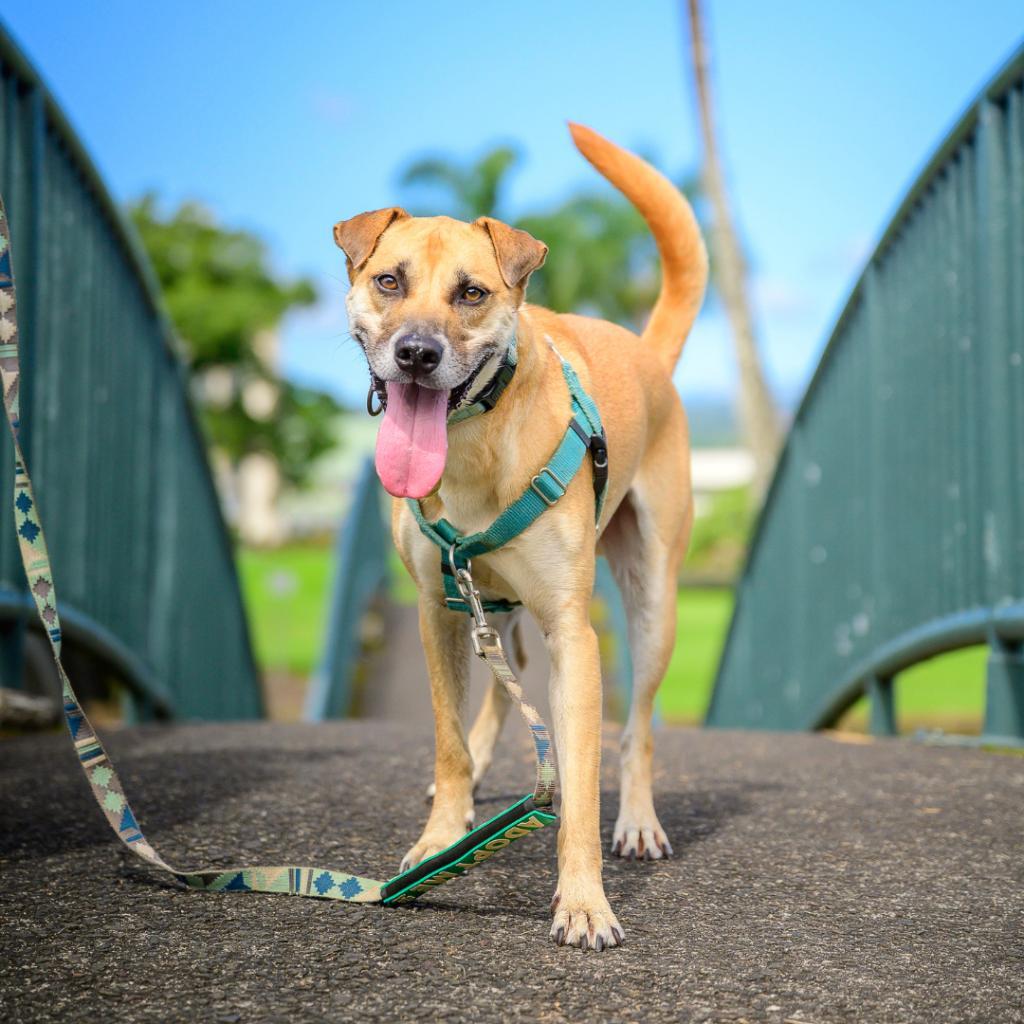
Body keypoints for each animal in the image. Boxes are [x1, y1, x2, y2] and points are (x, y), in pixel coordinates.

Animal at [333, 123, 704, 946]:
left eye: (472, 293)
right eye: (389, 282)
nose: (416, 354)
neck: (474, 448)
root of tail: (646, 353)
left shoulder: (573, 631)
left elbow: (582, 781)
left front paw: (584, 900)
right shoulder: (438, 610)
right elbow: (447, 738)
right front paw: (442, 840)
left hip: (653, 601)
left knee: (636, 730)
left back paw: (637, 820)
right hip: (489, 602)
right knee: (498, 695)